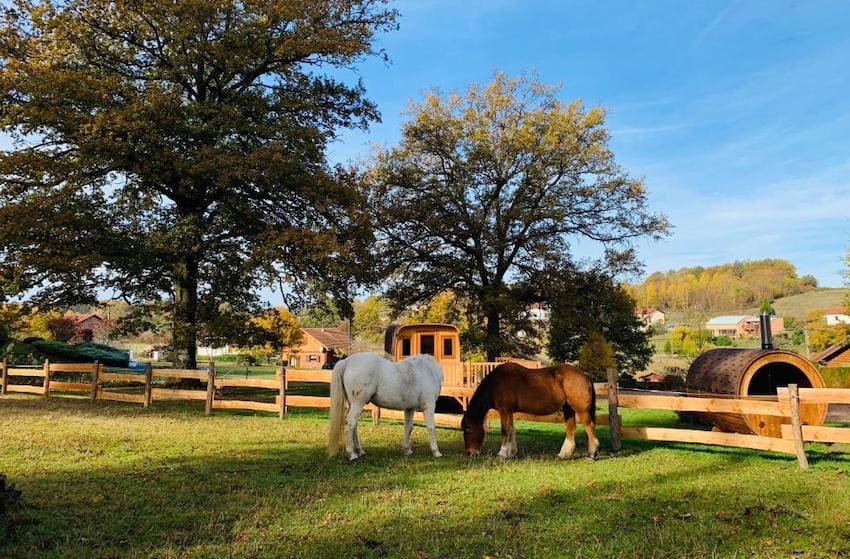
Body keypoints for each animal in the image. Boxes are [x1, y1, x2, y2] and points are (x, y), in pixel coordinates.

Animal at [464, 364, 596, 460]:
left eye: (467, 430)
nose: (469, 453)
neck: (496, 384)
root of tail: (585, 375)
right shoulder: (509, 411)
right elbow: (511, 430)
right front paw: (511, 453)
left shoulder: (505, 410)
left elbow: (505, 430)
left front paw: (503, 453)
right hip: (568, 408)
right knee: (571, 429)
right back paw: (564, 454)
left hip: (581, 410)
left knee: (589, 427)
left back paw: (592, 455)